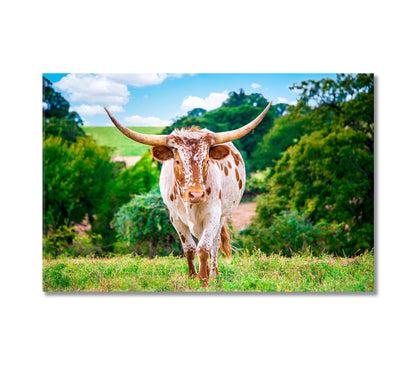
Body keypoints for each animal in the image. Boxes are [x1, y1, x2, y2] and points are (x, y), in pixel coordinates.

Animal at [105, 102, 272, 286]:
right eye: (177, 161)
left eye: (206, 161)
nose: (196, 195)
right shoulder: (175, 219)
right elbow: (190, 249)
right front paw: (192, 276)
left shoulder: (213, 215)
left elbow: (204, 248)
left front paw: (204, 280)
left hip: (222, 216)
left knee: (215, 243)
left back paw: (214, 273)